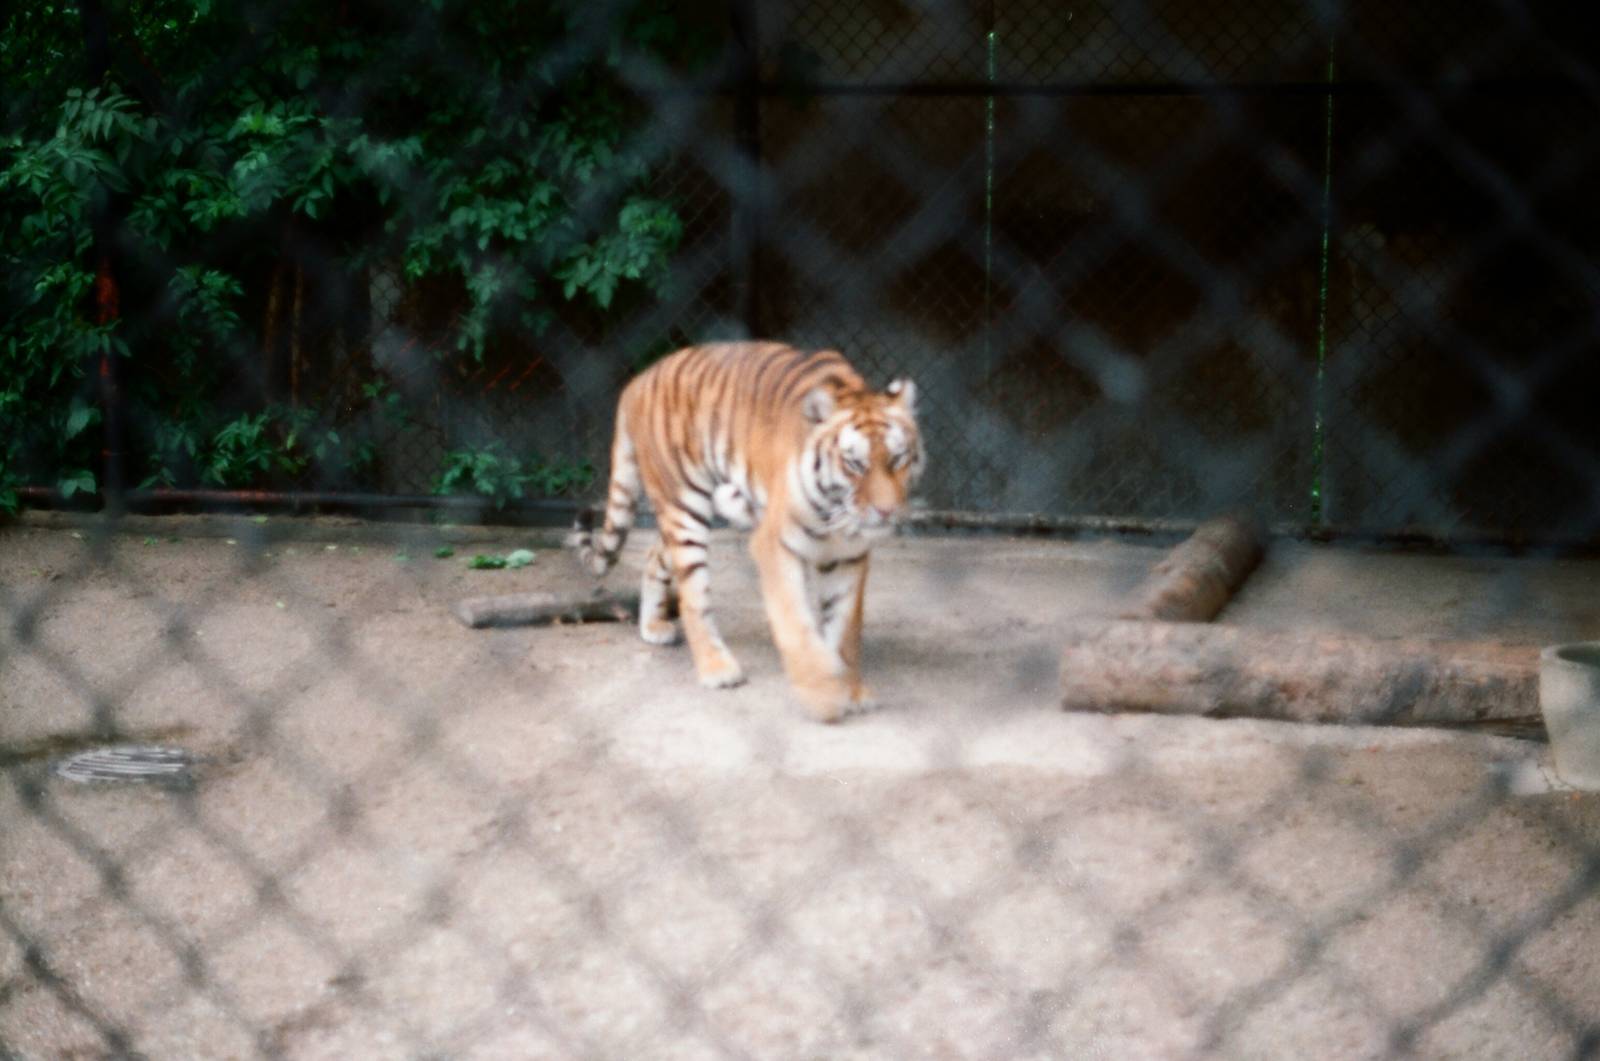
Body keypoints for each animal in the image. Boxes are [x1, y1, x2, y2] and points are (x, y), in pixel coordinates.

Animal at [570, 341, 925, 722]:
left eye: (898, 458)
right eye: (855, 464)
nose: (886, 511)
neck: (836, 512)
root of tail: (638, 381)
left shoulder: (850, 555)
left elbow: (845, 628)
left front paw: (852, 690)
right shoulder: (776, 544)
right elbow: (794, 620)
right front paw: (823, 693)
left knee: (654, 555)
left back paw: (652, 627)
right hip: (685, 507)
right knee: (693, 597)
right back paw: (717, 668)